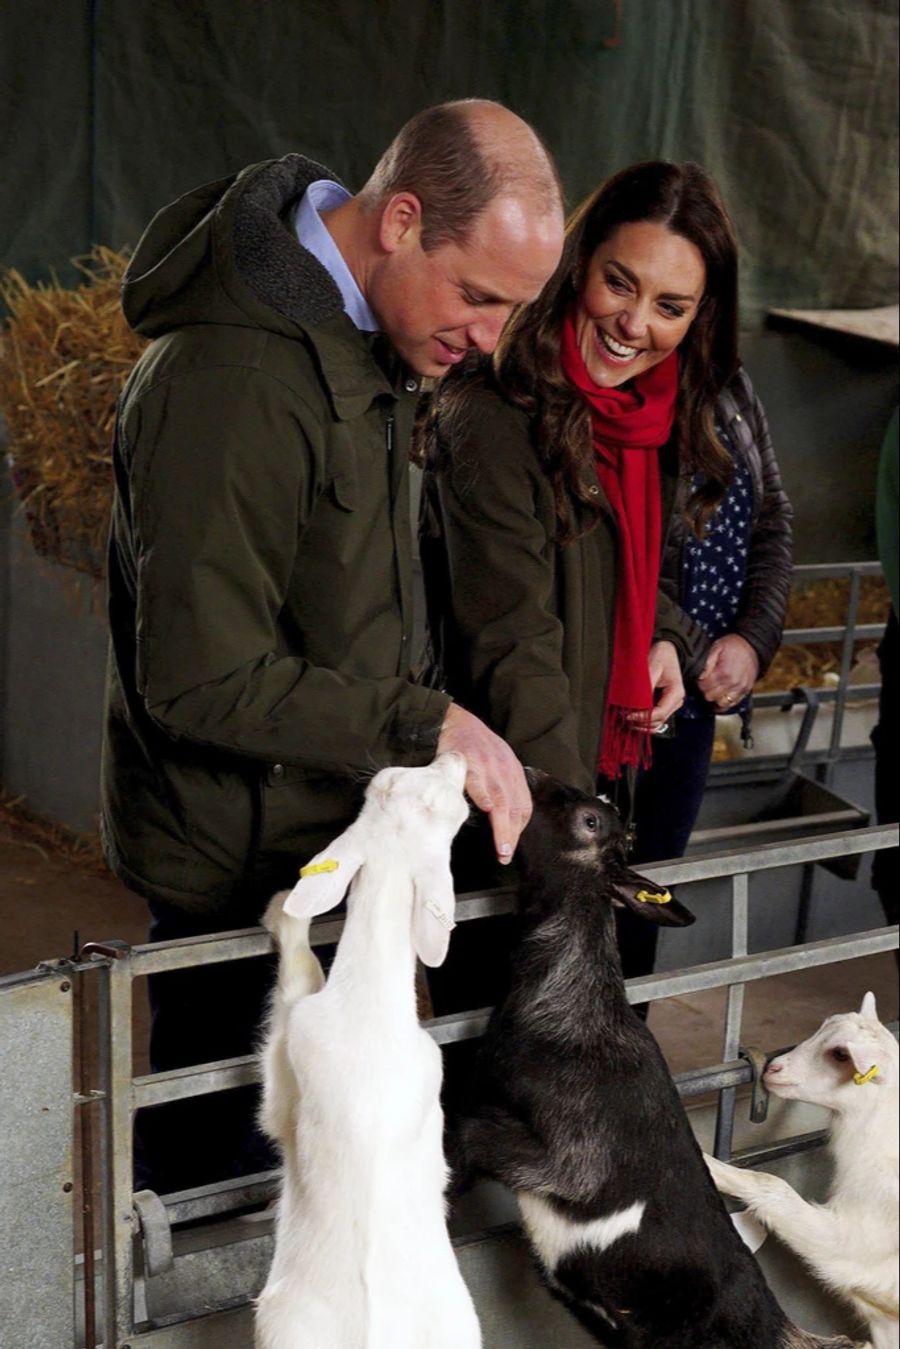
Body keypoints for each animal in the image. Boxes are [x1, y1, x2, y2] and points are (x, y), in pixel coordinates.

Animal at [253, 755, 483, 1343]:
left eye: (453, 805)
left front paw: (282, 913)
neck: (370, 1007)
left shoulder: (290, 1067)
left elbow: (297, 976)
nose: (454, 758)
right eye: (391, 783)